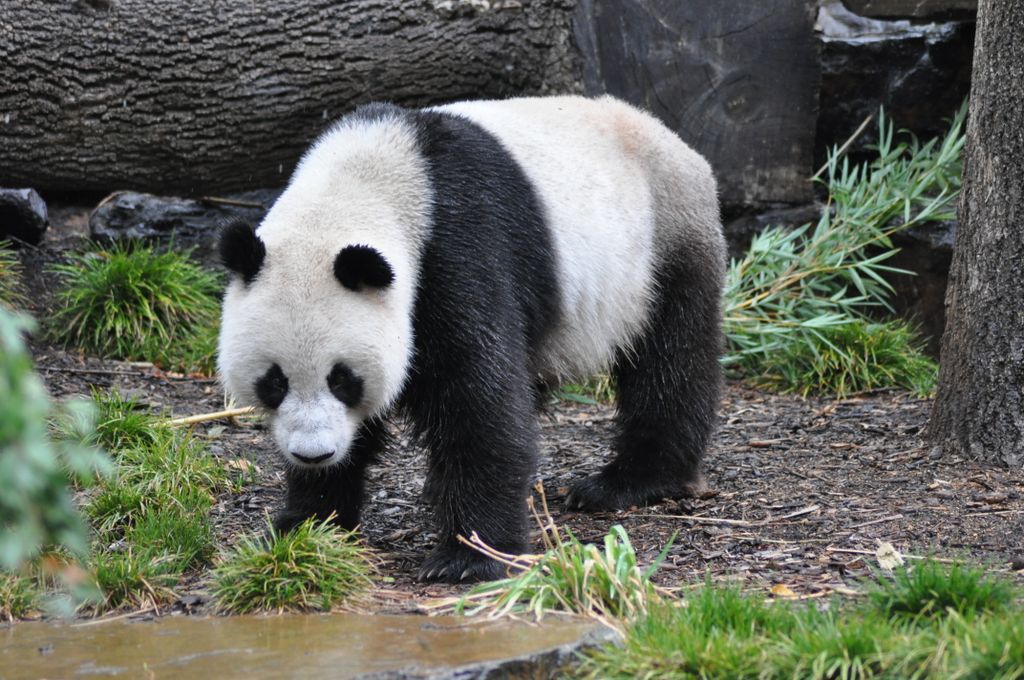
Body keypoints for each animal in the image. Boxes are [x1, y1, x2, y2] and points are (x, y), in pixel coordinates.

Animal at [217, 94, 726, 583]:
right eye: (274, 382)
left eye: (343, 379)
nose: (315, 453)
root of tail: (675, 142)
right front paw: (305, 527)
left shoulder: (456, 251)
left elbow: (479, 403)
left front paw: (468, 558)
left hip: (663, 246)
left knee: (671, 359)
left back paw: (628, 482)